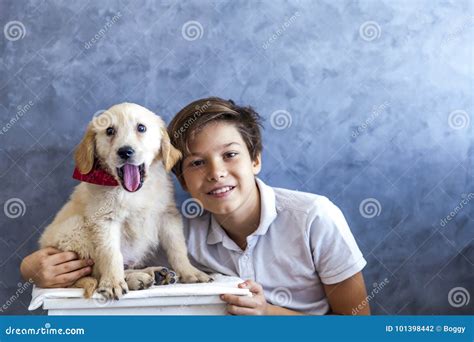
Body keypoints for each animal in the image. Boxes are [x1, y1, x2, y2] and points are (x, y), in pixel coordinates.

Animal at [39, 103, 210, 300]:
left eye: (141, 128)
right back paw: (136, 279)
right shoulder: (104, 220)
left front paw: (190, 272)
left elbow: (178, 247)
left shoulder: (168, 214)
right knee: (97, 272)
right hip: (75, 229)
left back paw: (156, 274)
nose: (125, 151)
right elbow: (111, 254)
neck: (132, 193)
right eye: (109, 131)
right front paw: (112, 283)